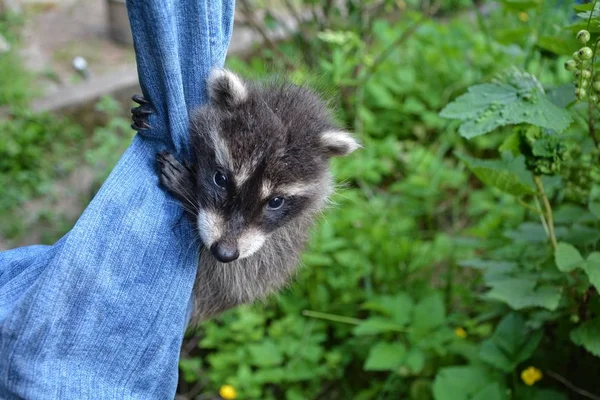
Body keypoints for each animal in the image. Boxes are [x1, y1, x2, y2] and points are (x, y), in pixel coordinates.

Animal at [142, 69, 356, 322]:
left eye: (275, 201)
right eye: (220, 179)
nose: (224, 253)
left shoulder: (272, 252)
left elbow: (234, 277)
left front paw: (187, 189)